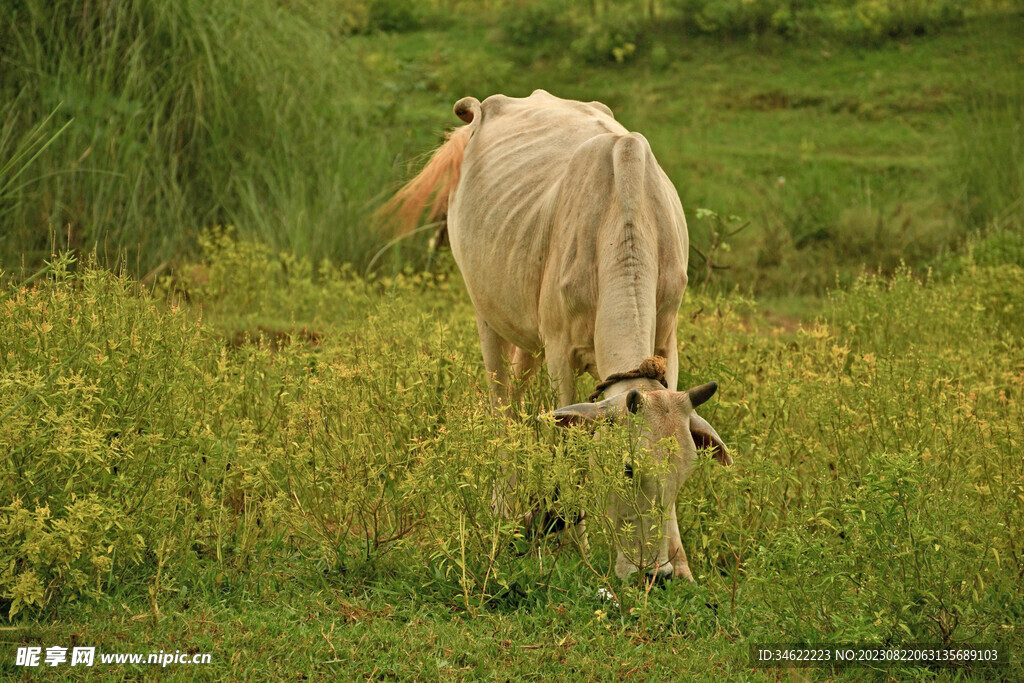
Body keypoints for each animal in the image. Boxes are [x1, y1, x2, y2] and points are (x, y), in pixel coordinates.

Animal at [385, 89, 729, 581]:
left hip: (528, 338)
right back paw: (504, 508)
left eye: (685, 472)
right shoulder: (560, 354)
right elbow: (568, 446)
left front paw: (679, 564)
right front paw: (576, 546)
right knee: (503, 410)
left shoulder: (668, 342)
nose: (651, 574)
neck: (622, 218)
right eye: (626, 469)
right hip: (487, 317)